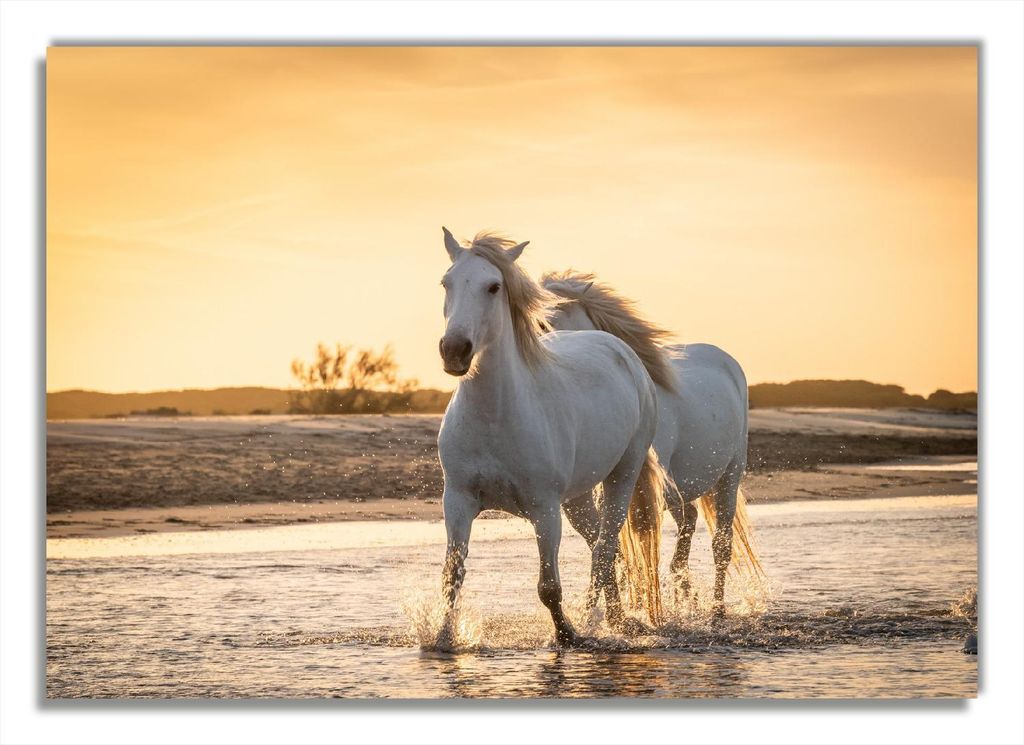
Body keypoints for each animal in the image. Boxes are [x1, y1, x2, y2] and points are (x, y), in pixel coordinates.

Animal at [435, 228, 668, 646]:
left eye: (493, 286)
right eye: (446, 282)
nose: (455, 351)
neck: (495, 417)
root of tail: (620, 350)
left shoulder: (544, 510)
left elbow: (548, 586)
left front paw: (567, 635)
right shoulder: (458, 502)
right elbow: (452, 577)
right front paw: (443, 639)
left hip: (622, 474)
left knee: (606, 547)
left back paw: (601, 622)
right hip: (576, 498)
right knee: (601, 546)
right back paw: (614, 618)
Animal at [541, 270, 763, 614]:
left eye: (549, 321)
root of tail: (727, 361)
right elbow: (609, 547)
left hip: (729, 475)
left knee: (721, 545)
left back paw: (716, 609)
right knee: (689, 523)